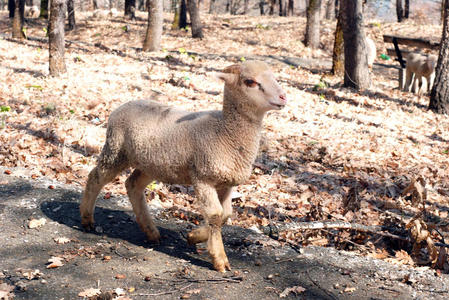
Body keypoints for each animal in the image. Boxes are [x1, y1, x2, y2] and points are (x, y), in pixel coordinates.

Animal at [80, 60, 288, 272]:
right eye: (250, 82)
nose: (283, 97)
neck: (224, 131)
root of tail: (122, 106)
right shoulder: (203, 177)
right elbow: (215, 215)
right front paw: (220, 259)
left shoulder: (227, 182)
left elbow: (225, 215)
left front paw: (194, 236)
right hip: (116, 150)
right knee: (96, 177)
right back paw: (87, 219)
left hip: (151, 163)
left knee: (133, 184)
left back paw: (151, 232)